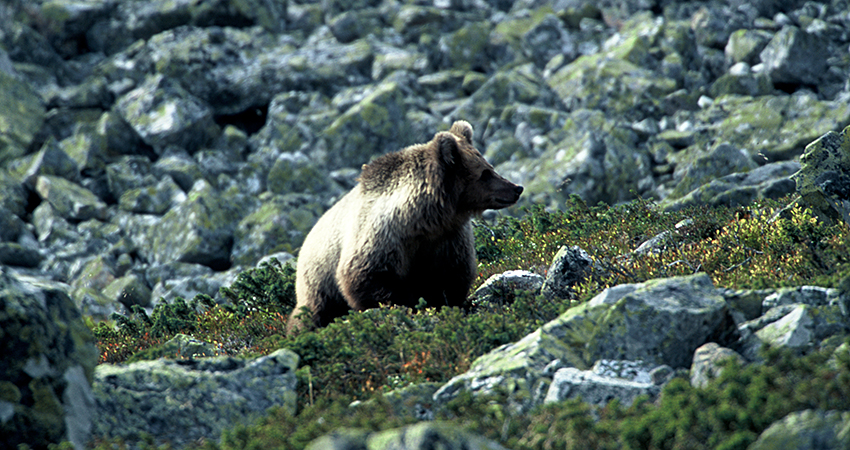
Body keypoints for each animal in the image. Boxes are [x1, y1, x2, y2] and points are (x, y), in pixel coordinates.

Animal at [288, 121, 520, 328]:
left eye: (490, 167)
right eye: (485, 174)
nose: (517, 188)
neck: (422, 222)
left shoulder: (448, 239)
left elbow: (451, 277)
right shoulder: (383, 239)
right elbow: (368, 278)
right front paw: (406, 305)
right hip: (317, 281)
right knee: (312, 312)